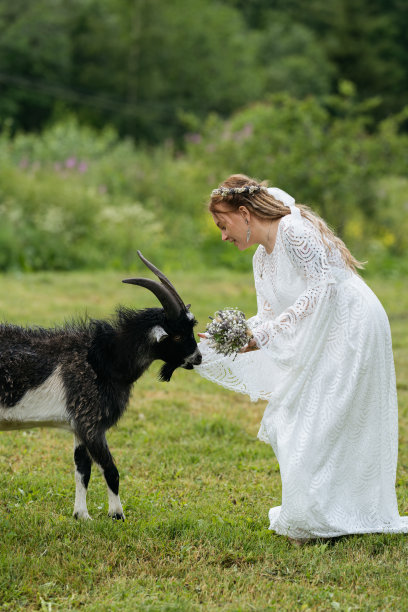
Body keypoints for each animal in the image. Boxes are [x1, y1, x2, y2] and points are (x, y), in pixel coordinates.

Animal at [0, 251, 201, 520]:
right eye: (177, 336)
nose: (198, 358)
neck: (102, 359)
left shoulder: (78, 425)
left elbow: (82, 469)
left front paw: (81, 516)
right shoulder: (91, 422)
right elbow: (110, 469)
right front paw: (117, 515)